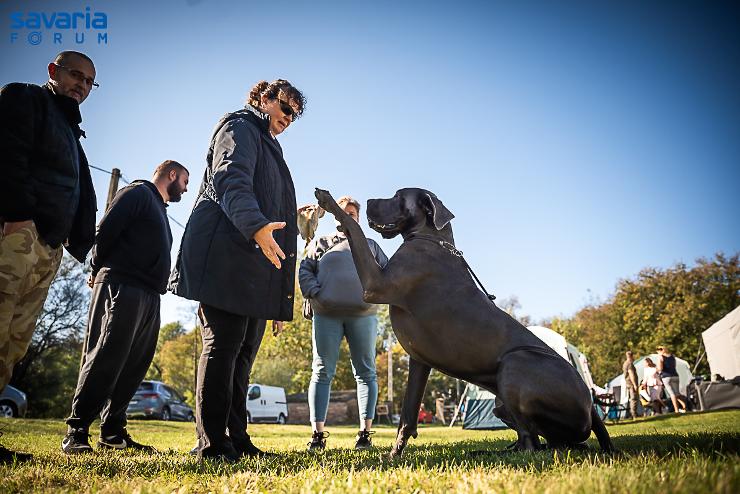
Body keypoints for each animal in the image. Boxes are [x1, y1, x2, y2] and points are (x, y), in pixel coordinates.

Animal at [314, 187, 612, 458]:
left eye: (398, 197)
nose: (368, 201)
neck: (430, 238)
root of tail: (591, 405)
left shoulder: (375, 284)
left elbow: (354, 229)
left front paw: (330, 202)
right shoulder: (419, 361)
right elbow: (408, 415)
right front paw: (394, 456)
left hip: (515, 364)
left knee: (532, 444)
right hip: (501, 403)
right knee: (544, 442)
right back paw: (489, 452)